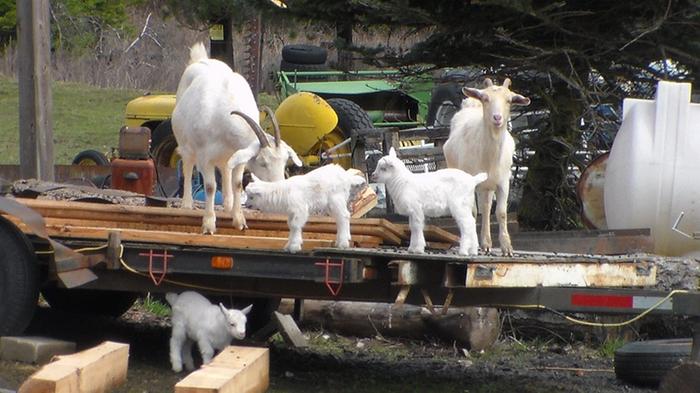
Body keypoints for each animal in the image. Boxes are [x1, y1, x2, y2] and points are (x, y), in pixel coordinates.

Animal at [174, 42, 302, 233]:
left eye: (285, 161)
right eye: (262, 162)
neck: (222, 112)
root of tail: (199, 59)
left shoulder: (240, 157)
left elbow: (237, 183)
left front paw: (239, 220)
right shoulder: (205, 157)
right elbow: (210, 187)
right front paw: (209, 224)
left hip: (227, 156)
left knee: (226, 171)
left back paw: (227, 205)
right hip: (185, 144)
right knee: (188, 165)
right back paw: (187, 204)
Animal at [442, 77, 532, 256]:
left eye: (509, 100)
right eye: (485, 98)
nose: (497, 117)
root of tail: (470, 105)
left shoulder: (503, 182)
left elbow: (501, 213)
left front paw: (507, 247)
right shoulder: (470, 183)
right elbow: (472, 212)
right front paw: (472, 243)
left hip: (487, 186)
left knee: (486, 207)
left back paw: (486, 243)